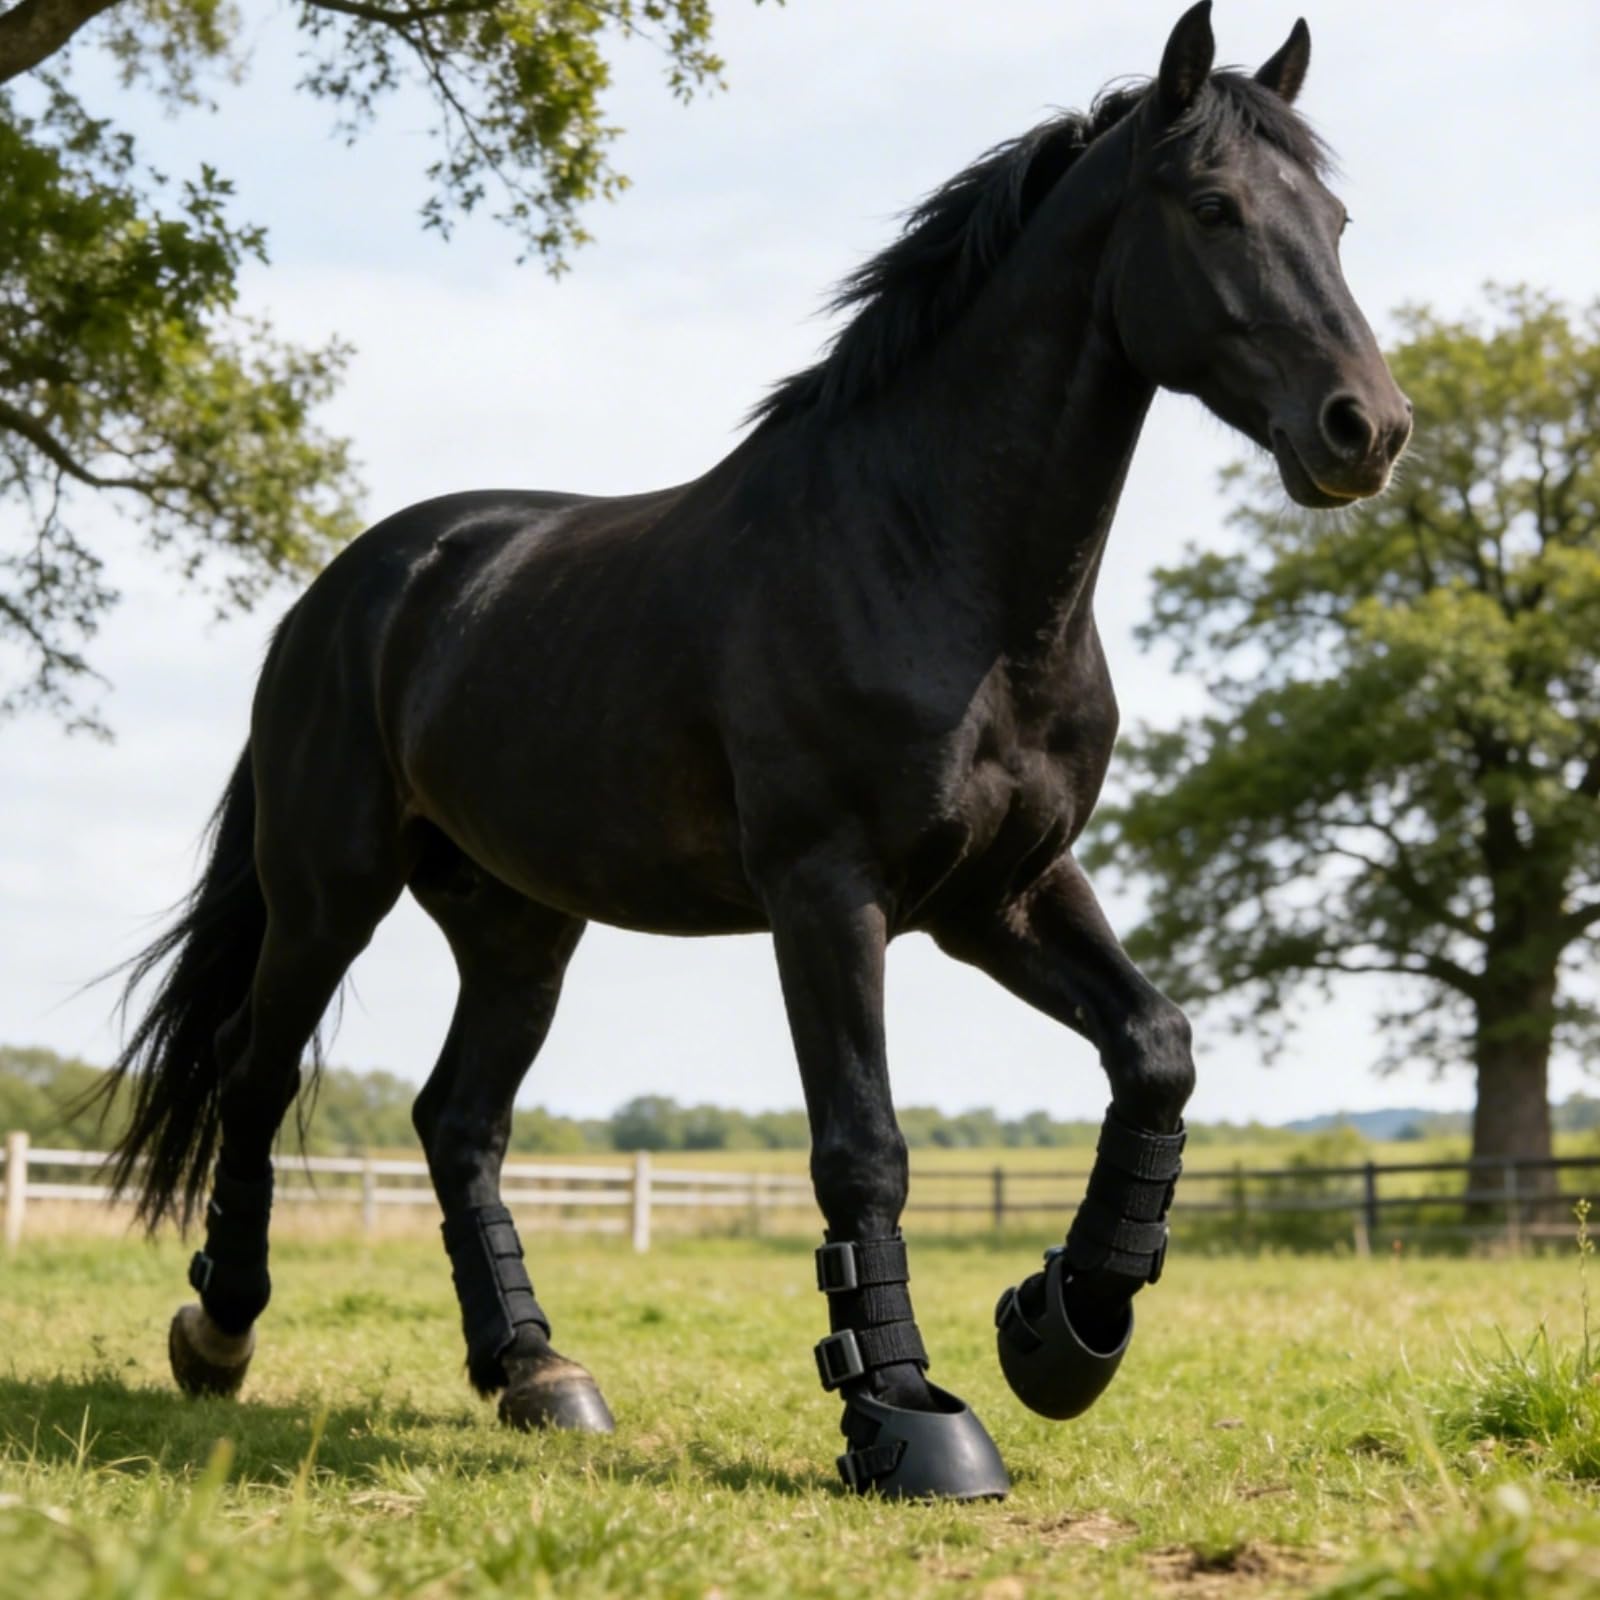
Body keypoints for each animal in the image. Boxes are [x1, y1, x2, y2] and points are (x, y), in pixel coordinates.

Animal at [101, 3, 1410, 1500]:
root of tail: (351, 588)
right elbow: (864, 1151)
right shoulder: (827, 896)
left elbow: (1157, 1050)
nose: (1365, 430)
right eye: (1213, 207)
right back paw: (221, 1333)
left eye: (1336, 220)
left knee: (458, 1121)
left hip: (519, 926)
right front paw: (905, 1416)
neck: (933, 565)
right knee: (255, 1078)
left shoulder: (1004, 895)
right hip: (330, 890)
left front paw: (1058, 1329)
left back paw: (536, 1371)